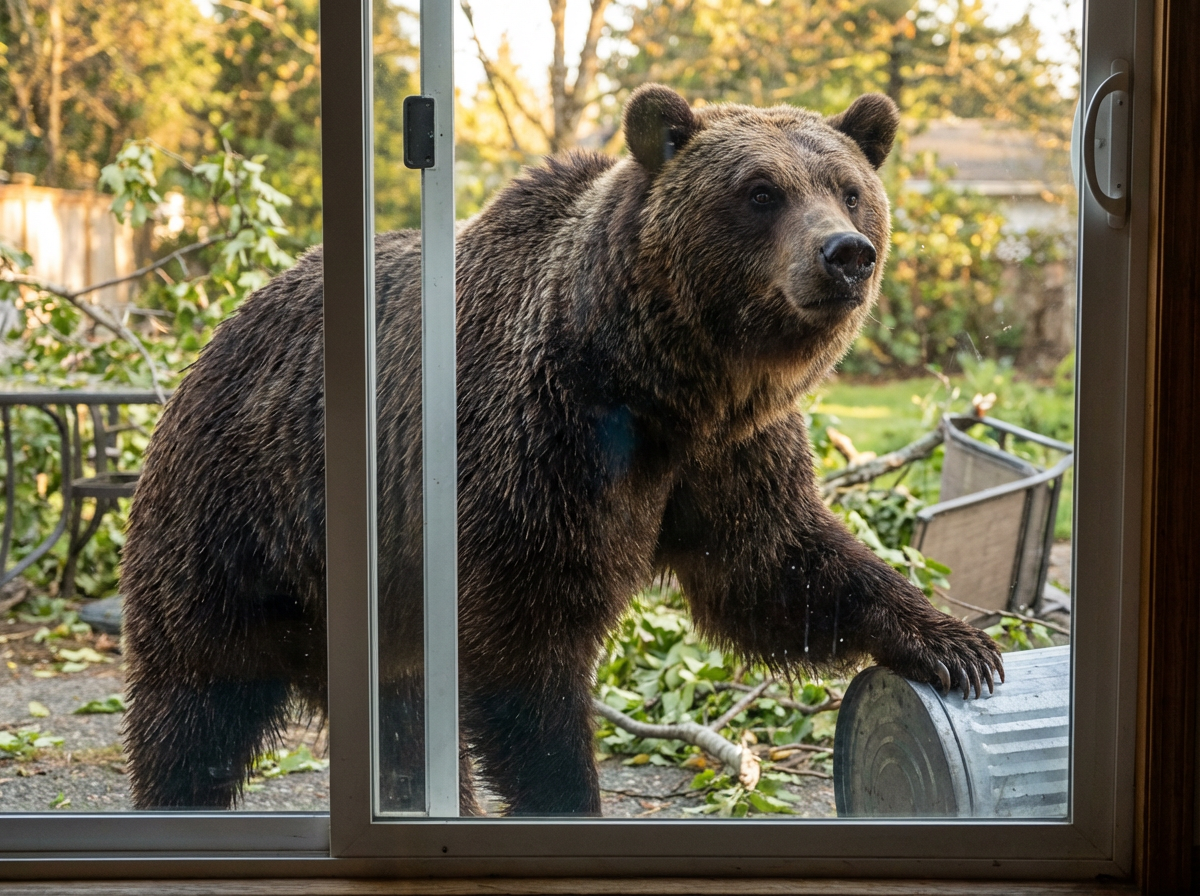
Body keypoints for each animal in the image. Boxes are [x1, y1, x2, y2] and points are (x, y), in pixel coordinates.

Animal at [120, 84, 1003, 815]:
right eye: (761, 191)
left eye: (848, 188)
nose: (846, 252)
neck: (664, 387)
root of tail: (215, 335)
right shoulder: (541, 447)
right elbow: (529, 643)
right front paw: (566, 793)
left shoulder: (731, 454)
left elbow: (774, 563)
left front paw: (957, 644)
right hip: (238, 522)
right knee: (194, 702)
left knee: (400, 724)